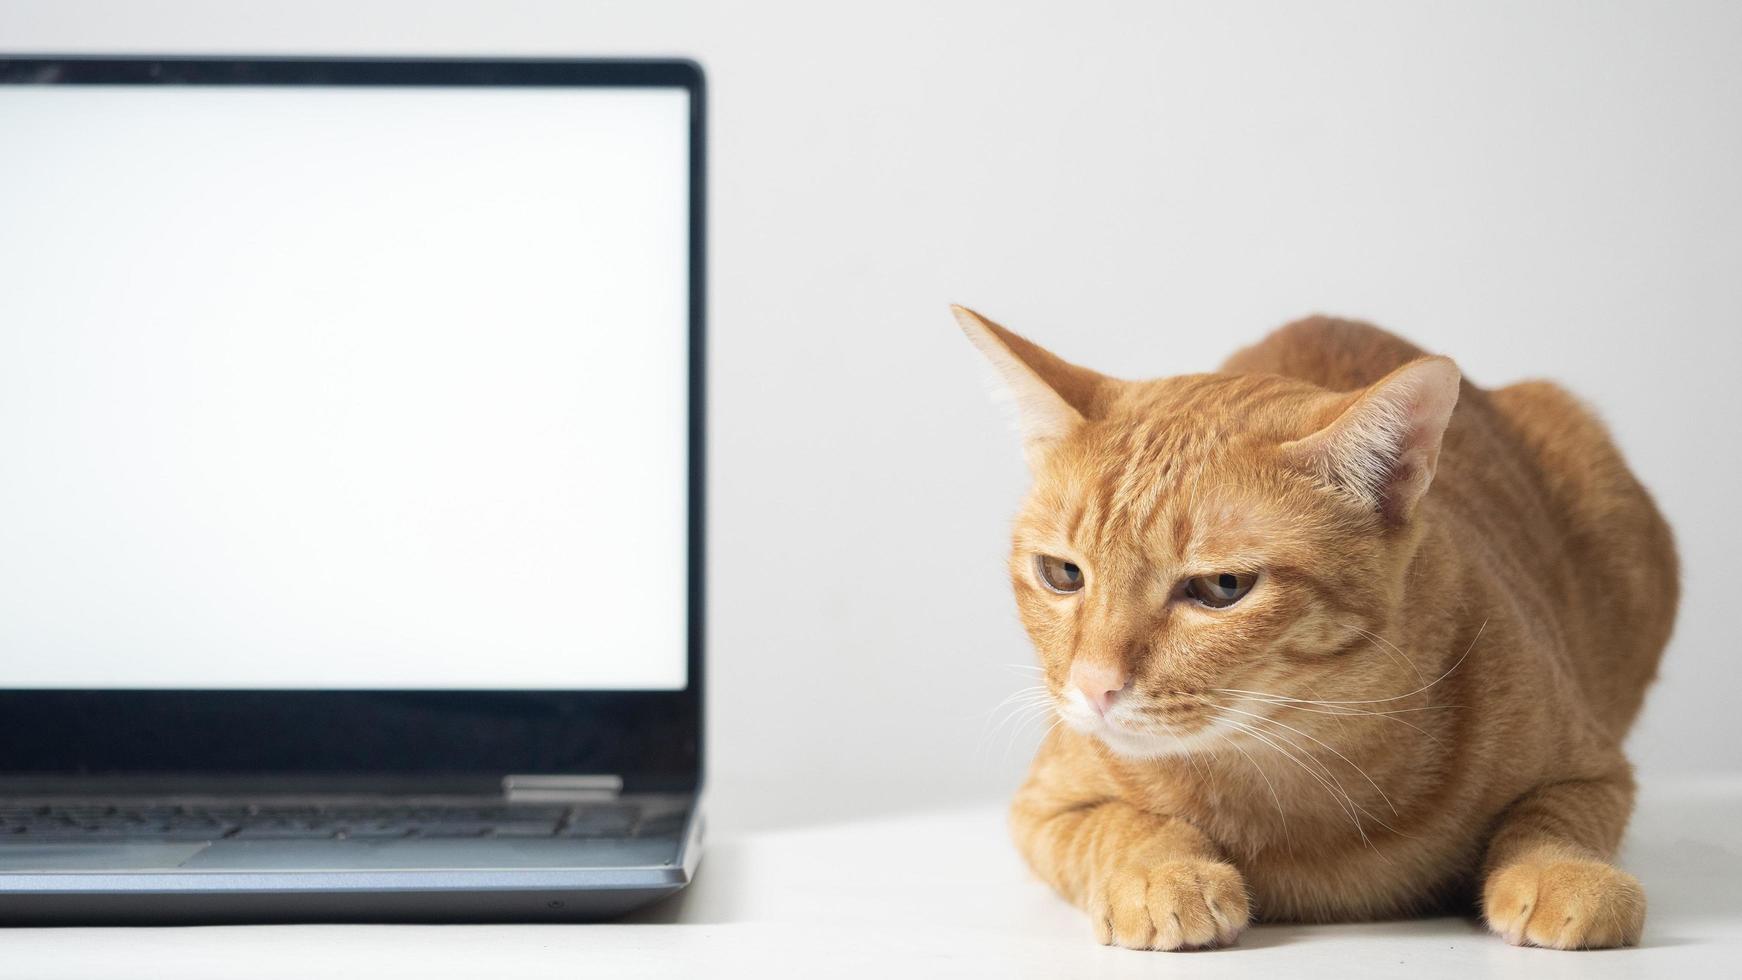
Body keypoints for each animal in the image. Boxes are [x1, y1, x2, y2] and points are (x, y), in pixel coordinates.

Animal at [961, 308, 1679, 953]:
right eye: (1063, 574)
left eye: (1223, 588)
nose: (1094, 687)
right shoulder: (1043, 806)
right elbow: (1121, 825)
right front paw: (1164, 873)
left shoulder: (1597, 773)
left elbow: (1552, 818)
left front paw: (1565, 875)